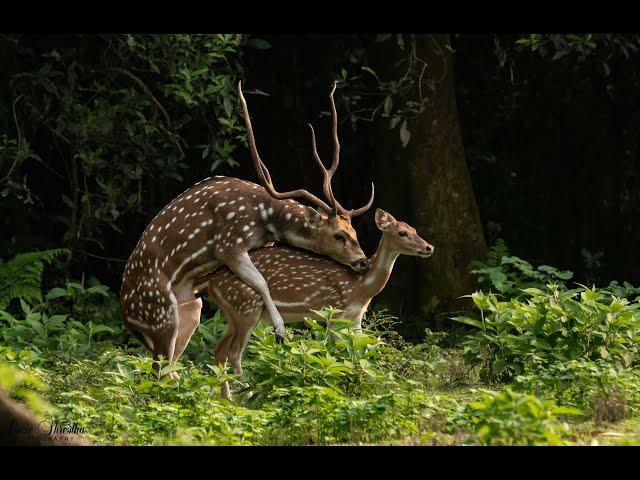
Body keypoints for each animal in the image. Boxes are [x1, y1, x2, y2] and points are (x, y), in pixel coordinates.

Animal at [119, 80, 376, 376]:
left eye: (355, 232)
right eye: (338, 235)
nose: (362, 261)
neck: (264, 219)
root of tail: (127, 318)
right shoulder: (229, 244)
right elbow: (262, 282)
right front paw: (279, 330)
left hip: (191, 307)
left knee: (169, 360)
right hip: (161, 313)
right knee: (159, 365)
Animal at [209, 208, 436, 400]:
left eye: (414, 230)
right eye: (401, 233)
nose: (428, 247)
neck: (361, 287)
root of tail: (211, 283)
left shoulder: (356, 317)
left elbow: (360, 350)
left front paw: (376, 387)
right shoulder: (333, 310)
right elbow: (336, 351)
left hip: (234, 313)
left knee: (219, 349)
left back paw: (225, 397)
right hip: (247, 305)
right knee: (234, 352)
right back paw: (246, 395)